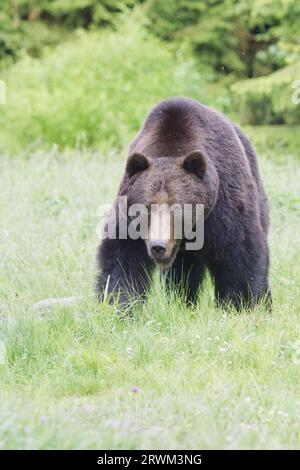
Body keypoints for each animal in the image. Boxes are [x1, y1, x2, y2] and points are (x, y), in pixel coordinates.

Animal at [96, 96, 272, 308]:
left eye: (178, 207)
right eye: (146, 208)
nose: (158, 246)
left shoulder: (223, 203)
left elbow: (238, 251)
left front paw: (240, 304)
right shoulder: (127, 213)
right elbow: (122, 258)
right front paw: (119, 305)